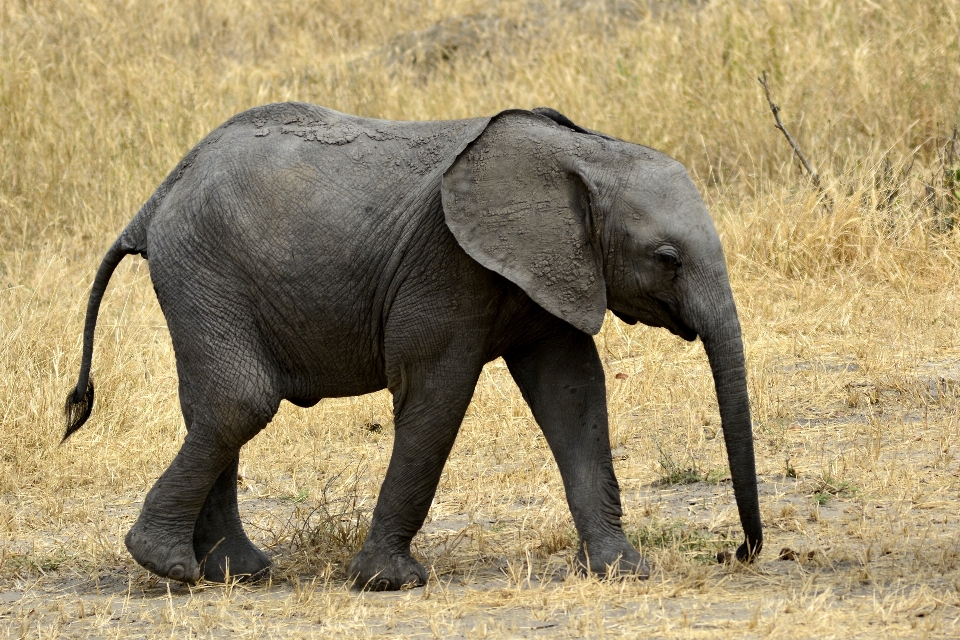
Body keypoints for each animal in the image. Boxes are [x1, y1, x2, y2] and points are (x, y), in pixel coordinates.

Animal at [63, 104, 760, 592]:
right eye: (666, 258)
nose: (738, 552)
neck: (584, 153)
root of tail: (158, 195)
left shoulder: (554, 269)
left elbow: (573, 395)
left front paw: (623, 572)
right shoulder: (446, 267)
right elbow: (436, 395)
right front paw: (389, 584)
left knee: (214, 409)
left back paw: (238, 573)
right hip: (203, 270)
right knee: (241, 402)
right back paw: (169, 566)